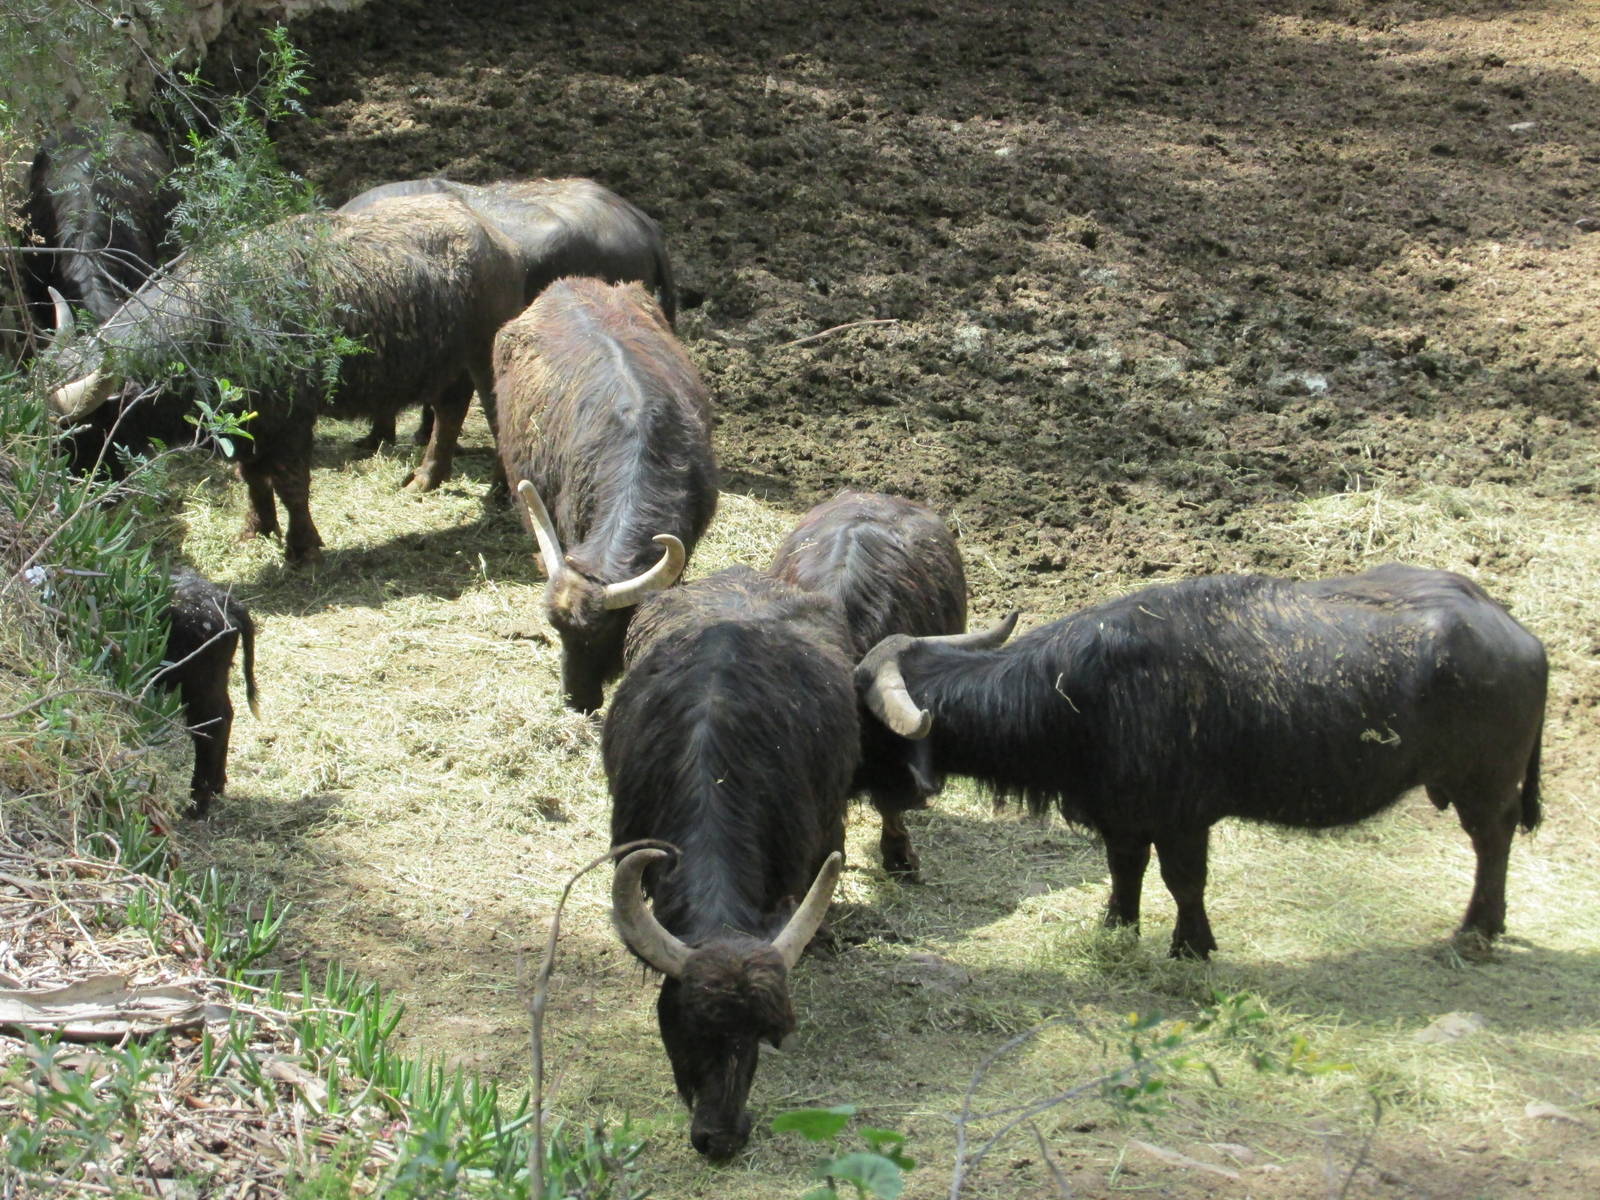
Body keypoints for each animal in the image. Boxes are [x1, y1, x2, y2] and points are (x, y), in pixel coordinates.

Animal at [45, 193, 525, 562]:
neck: (218, 322)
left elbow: (292, 483)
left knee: (496, 415)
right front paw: (256, 529)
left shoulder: (293, 421)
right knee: (450, 410)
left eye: (80, 431)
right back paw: (425, 479)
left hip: (484, 355)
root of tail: (498, 240)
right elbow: (254, 479)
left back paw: (499, 492)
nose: (67, 495)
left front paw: (302, 546)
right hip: (447, 363)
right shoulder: (245, 426)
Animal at [159, 569, 259, 815]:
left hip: (197, 682)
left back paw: (197, 804)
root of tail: (225, 600)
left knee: (211, 724)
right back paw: (216, 786)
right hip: (215, 679)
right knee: (225, 716)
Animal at [857, 563, 1547, 958]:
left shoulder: (1184, 820)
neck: (1082, 694)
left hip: (1484, 783)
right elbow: (1125, 873)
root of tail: (1514, 631)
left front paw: (1191, 946)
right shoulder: (1123, 816)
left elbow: (1183, 882)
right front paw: (1116, 928)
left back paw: (1477, 930)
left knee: (1493, 841)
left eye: (864, 724)